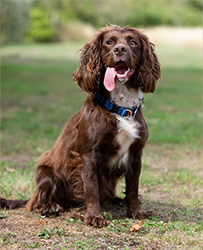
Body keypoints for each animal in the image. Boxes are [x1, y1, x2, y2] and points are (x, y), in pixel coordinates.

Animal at [1, 25, 160, 227]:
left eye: (133, 42)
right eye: (109, 42)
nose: (120, 49)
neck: (120, 106)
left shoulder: (135, 154)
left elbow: (133, 188)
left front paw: (136, 212)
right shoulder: (88, 155)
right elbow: (91, 188)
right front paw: (94, 216)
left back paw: (117, 200)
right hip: (46, 173)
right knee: (36, 202)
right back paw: (49, 207)